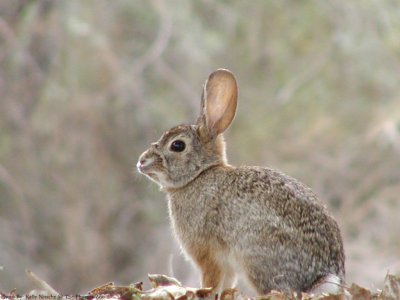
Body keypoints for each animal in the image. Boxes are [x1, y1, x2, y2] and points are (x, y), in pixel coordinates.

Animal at [137, 68, 344, 296]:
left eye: (177, 145)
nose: (141, 162)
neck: (198, 175)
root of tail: (319, 278)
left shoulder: (208, 255)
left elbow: (211, 281)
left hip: (256, 257)